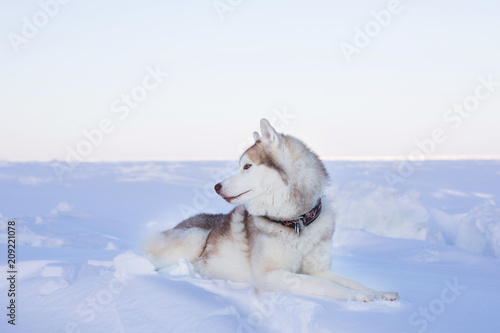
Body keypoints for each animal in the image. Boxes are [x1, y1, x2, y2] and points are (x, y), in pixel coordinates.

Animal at [144, 118, 398, 300]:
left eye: (247, 166)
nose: (216, 186)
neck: (296, 221)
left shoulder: (319, 268)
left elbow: (349, 280)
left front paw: (379, 292)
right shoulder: (272, 275)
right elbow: (322, 284)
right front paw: (358, 297)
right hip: (195, 237)